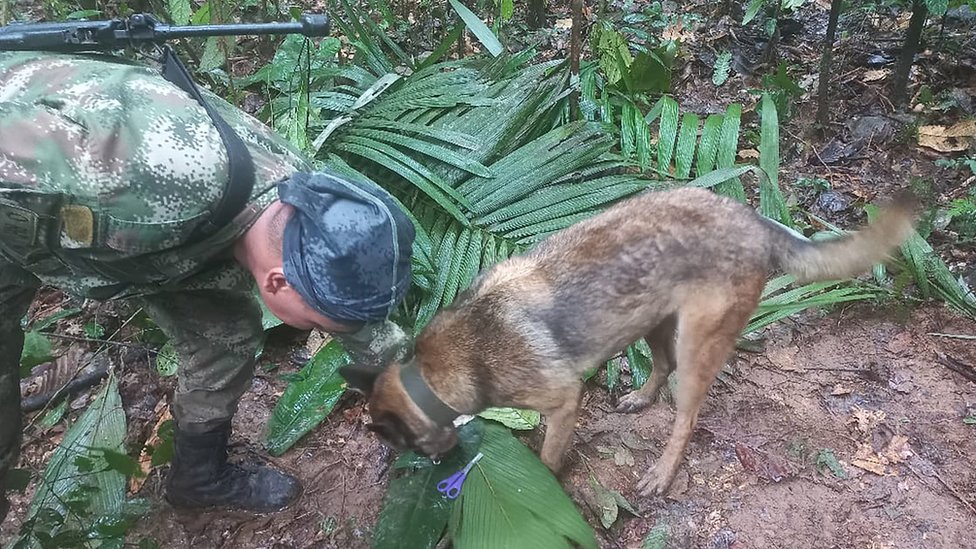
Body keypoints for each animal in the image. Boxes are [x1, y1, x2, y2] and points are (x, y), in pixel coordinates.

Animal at [350, 186, 916, 494]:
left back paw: (663, 472)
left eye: (402, 444)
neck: (436, 371)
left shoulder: (563, 401)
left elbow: (548, 457)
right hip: (651, 321)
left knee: (686, 415)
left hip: (695, 344)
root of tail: (753, 219)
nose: (430, 468)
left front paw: (543, 482)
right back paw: (640, 398)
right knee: (660, 367)